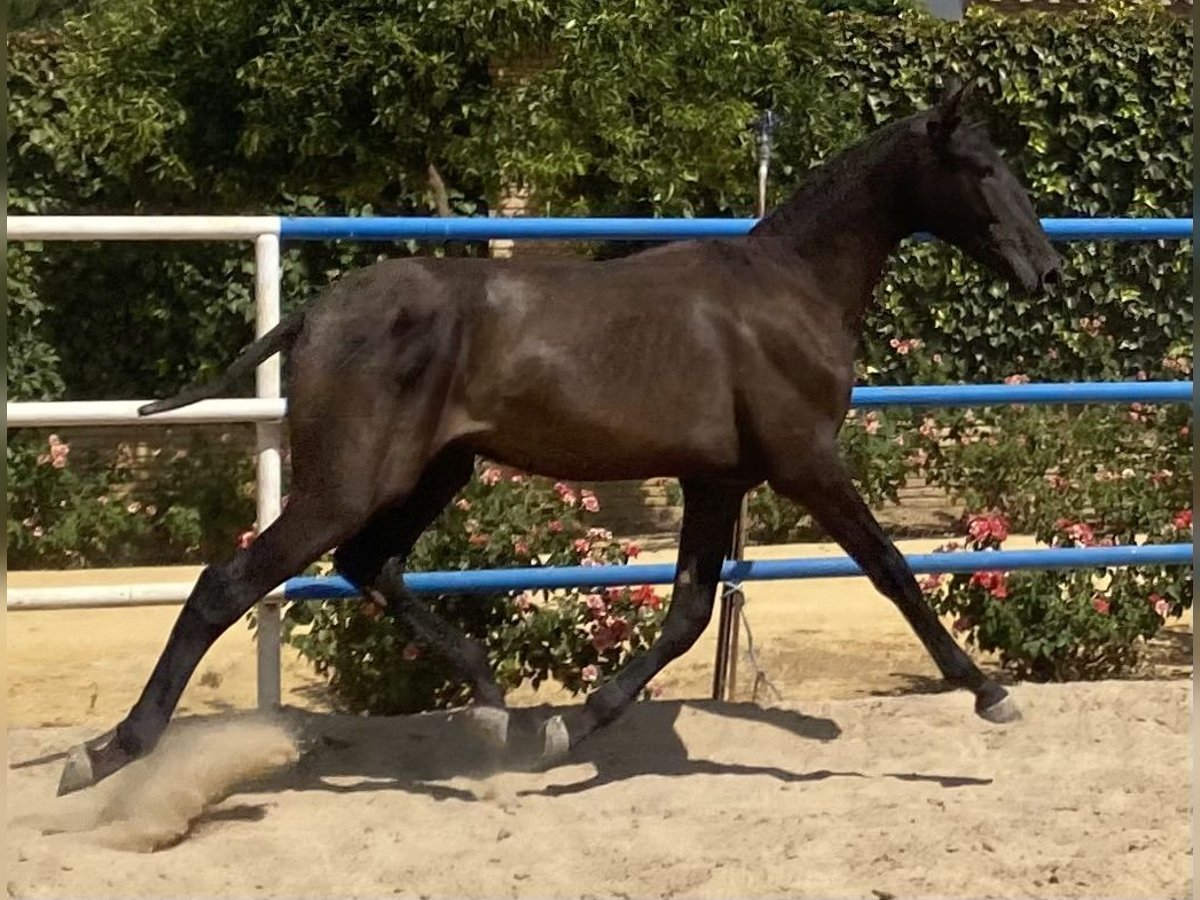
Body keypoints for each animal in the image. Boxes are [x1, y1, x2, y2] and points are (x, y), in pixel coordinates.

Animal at [60, 82, 1065, 796]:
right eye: (979, 166)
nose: (1047, 270)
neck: (789, 290)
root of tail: (314, 312)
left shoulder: (715, 480)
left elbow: (688, 613)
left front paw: (564, 727)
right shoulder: (805, 464)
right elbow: (893, 569)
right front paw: (991, 693)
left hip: (433, 471)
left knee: (369, 565)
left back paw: (494, 705)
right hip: (349, 482)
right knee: (229, 584)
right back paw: (107, 753)